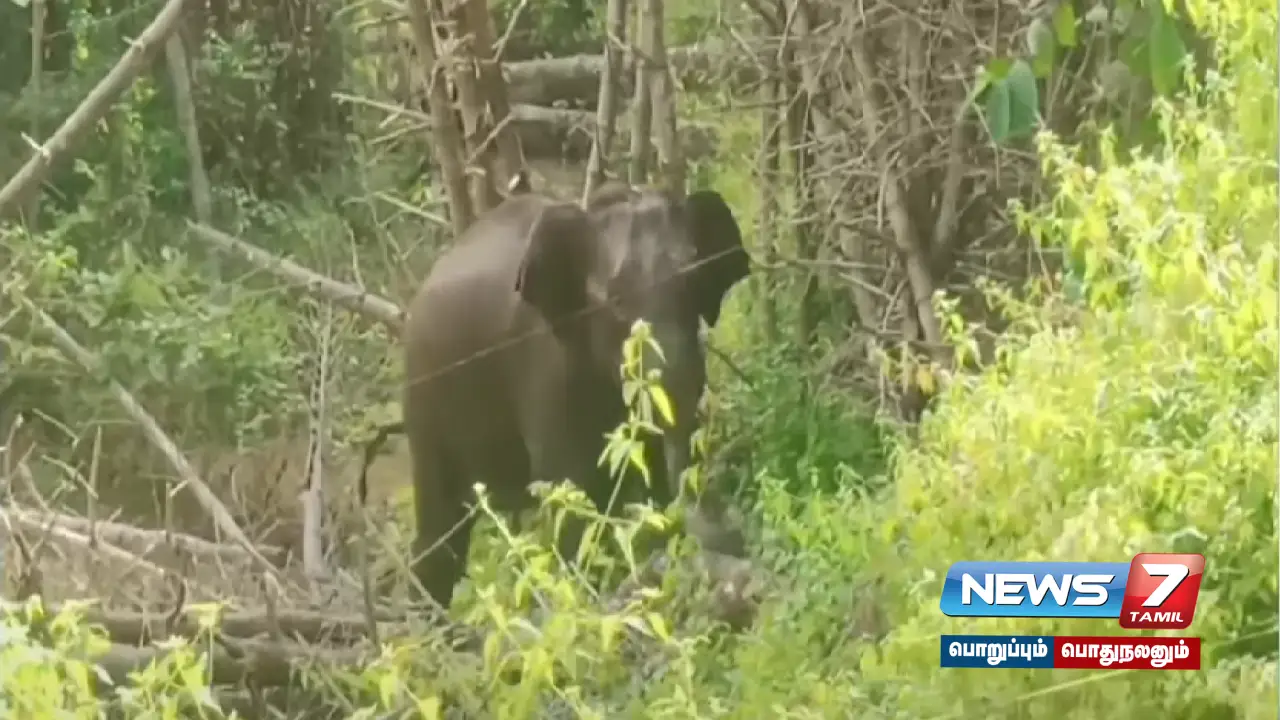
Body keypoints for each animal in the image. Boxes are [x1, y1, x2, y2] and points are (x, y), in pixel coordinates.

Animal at [401, 181, 750, 612]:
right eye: (615, 303)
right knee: (440, 527)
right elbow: (571, 487)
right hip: (425, 402)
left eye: (694, 282)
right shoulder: (545, 365)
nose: (732, 539)